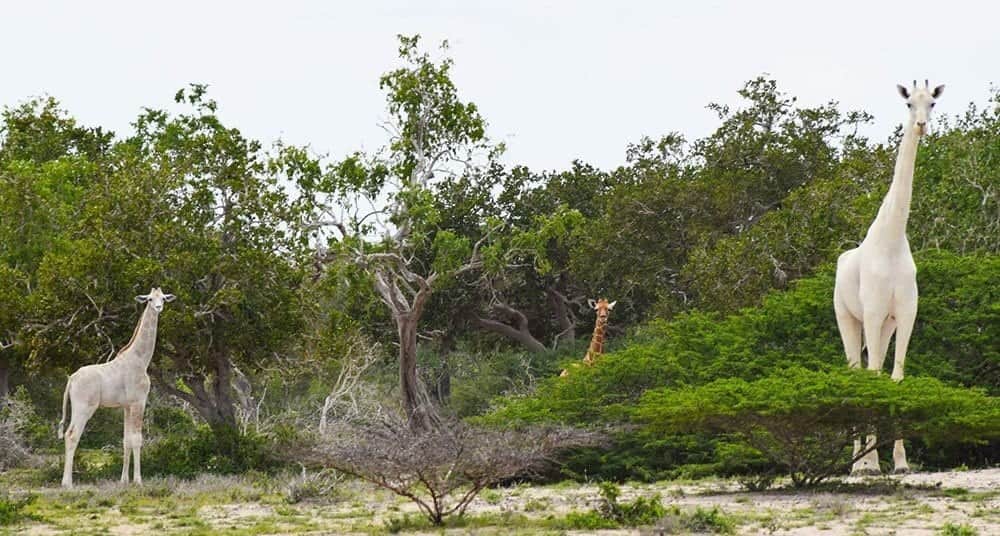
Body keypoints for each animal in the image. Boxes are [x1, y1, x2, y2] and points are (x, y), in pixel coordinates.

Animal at [58, 287, 175, 487]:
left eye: (163, 298)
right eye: (150, 299)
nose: (159, 307)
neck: (141, 360)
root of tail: (71, 379)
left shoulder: (126, 406)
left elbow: (126, 440)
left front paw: (123, 481)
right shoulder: (138, 402)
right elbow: (137, 439)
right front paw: (138, 481)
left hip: (77, 407)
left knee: (67, 434)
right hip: (84, 407)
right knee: (72, 435)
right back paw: (68, 484)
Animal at [833, 80, 943, 475]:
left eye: (933, 103)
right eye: (909, 103)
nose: (921, 125)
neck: (893, 240)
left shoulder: (905, 313)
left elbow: (895, 377)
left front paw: (900, 461)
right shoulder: (873, 312)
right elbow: (873, 377)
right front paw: (868, 463)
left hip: (884, 325)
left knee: (873, 369)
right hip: (849, 317)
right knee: (857, 370)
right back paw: (858, 462)